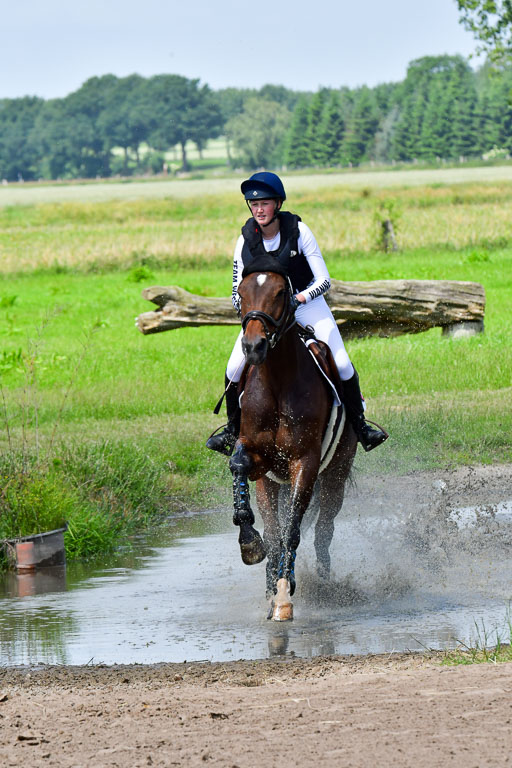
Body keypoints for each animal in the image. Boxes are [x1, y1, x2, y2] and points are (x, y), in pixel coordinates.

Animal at [228, 266, 357, 621]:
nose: (253, 347)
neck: (277, 381)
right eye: (241, 293)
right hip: (276, 481)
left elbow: (292, 530)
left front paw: (284, 594)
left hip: (336, 475)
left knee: (324, 530)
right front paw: (252, 548)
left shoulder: (306, 462)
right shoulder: (259, 462)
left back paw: (325, 582)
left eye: (280, 293)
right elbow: (270, 530)